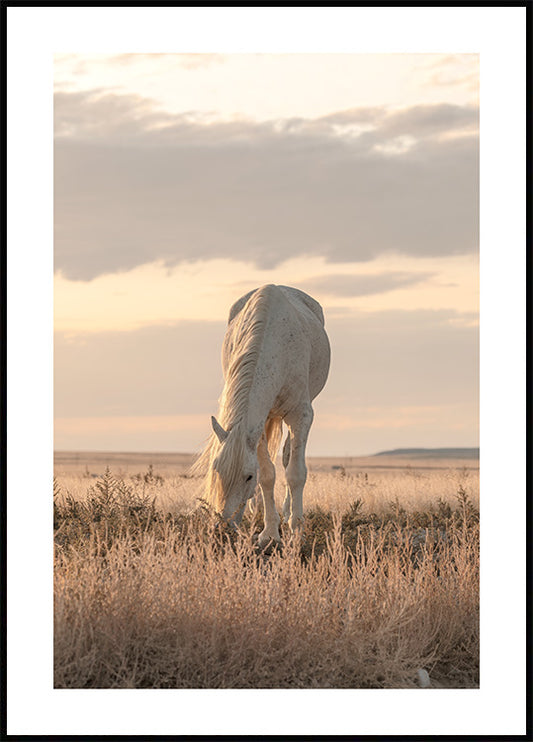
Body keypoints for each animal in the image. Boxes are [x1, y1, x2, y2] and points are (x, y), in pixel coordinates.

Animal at [193, 284, 330, 547]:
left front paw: (296, 532)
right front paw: (269, 534)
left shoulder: (301, 415)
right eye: (216, 471)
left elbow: (295, 473)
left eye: (247, 477)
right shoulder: (261, 420)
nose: (222, 529)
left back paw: (287, 513)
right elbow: (267, 475)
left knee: (287, 458)